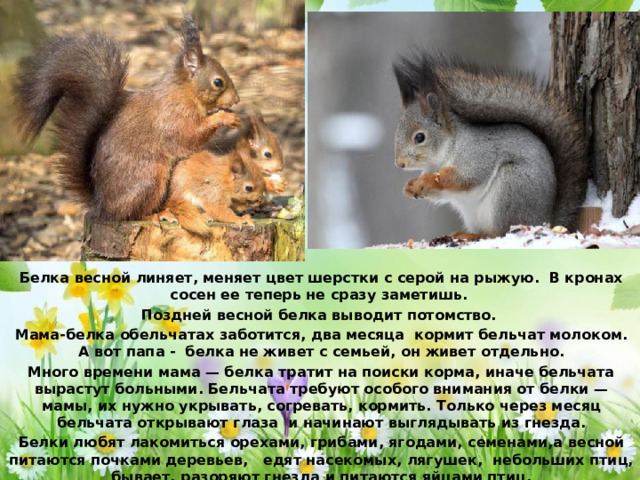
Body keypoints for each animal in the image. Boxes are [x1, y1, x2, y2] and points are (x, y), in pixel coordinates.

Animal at [13, 14, 241, 222]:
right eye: (218, 82)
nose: (237, 99)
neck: (184, 93)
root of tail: (104, 207)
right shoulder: (175, 117)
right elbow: (192, 135)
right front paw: (224, 118)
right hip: (150, 179)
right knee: (136, 213)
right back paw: (159, 214)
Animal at [393, 52, 588, 236]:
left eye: (420, 137)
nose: (400, 164)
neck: (447, 149)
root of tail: (545, 221)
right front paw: (410, 186)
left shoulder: (477, 153)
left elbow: (466, 177)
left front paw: (427, 180)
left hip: (511, 188)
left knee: (501, 232)